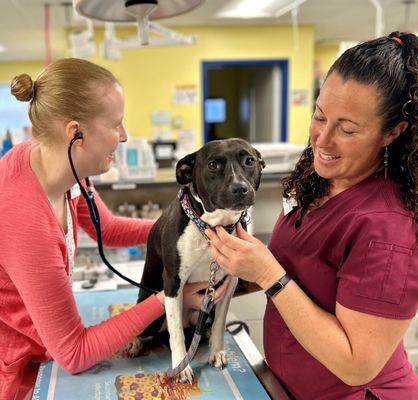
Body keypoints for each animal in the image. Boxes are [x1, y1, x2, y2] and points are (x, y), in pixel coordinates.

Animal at [134, 139, 264, 382]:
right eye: (213, 165)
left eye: (249, 161)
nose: (240, 188)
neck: (211, 228)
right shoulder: (173, 282)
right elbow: (176, 333)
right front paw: (181, 366)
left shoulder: (229, 284)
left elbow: (220, 322)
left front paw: (217, 352)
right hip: (151, 313)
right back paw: (135, 343)